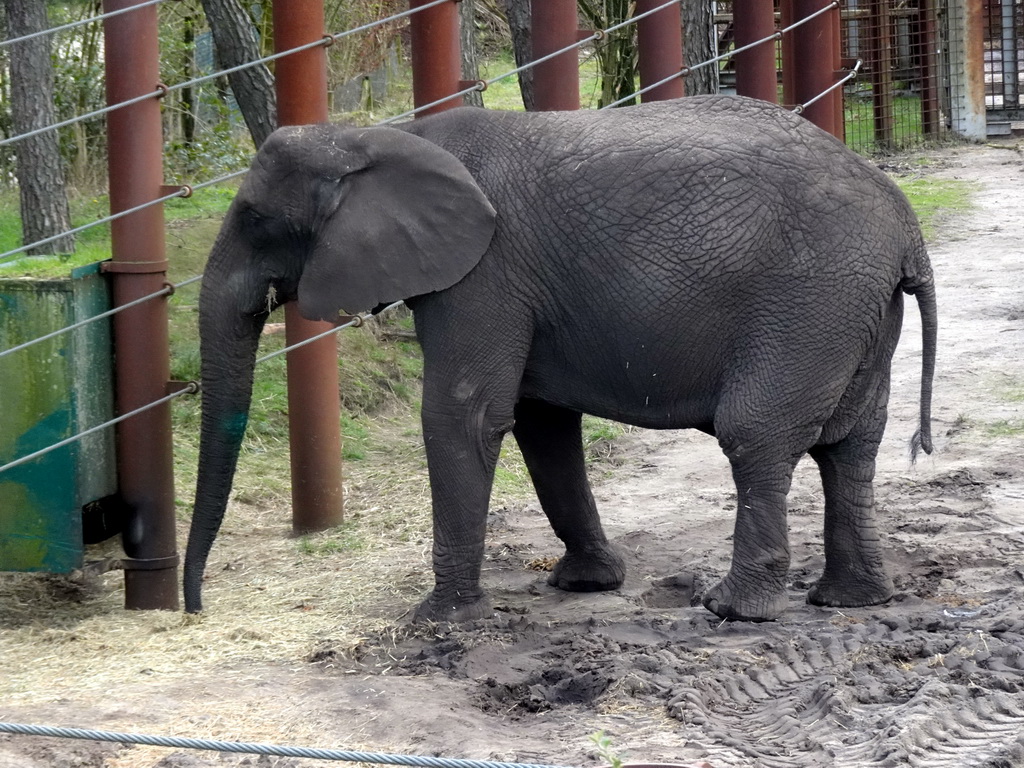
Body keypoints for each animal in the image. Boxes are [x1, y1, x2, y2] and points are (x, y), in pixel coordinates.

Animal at [182, 96, 937, 626]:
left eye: (254, 220)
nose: (194, 608)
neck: (382, 133)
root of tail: (906, 224)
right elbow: (539, 423)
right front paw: (586, 585)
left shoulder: (482, 273)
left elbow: (465, 415)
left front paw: (440, 619)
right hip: (855, 311)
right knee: (851, 446)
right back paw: (852, 600)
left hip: (808, 302)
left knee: (756, 436)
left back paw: (733, 610)